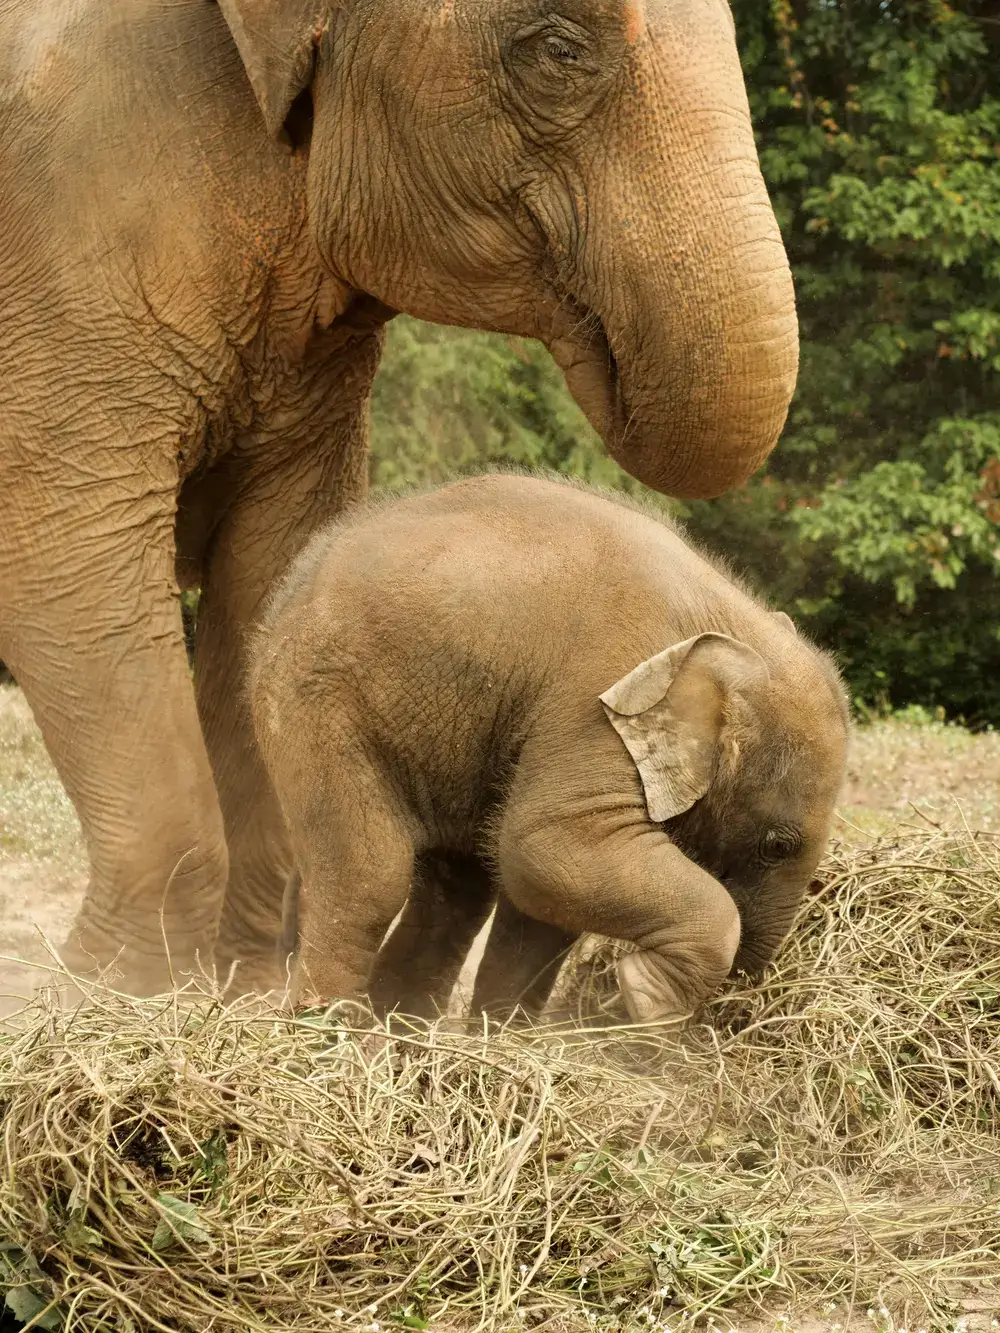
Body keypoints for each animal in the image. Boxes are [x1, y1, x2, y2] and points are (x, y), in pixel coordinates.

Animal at [0, 0, 800, 1002]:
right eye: (560, 51)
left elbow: (271, 566)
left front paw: (240, 994)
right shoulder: (65, 229)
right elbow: (66, 555)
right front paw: (116, 999)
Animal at [252, 474, 853, 1023]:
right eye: (776, 845)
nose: (731, 1014)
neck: (727, 622)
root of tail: (284, 598)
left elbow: (542, 902)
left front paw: (507, 1037)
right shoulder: (594, 697)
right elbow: (545, 845)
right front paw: (644, 997)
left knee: (456, 894)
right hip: (320, 700)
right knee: (370, 877)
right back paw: (336, 1040)